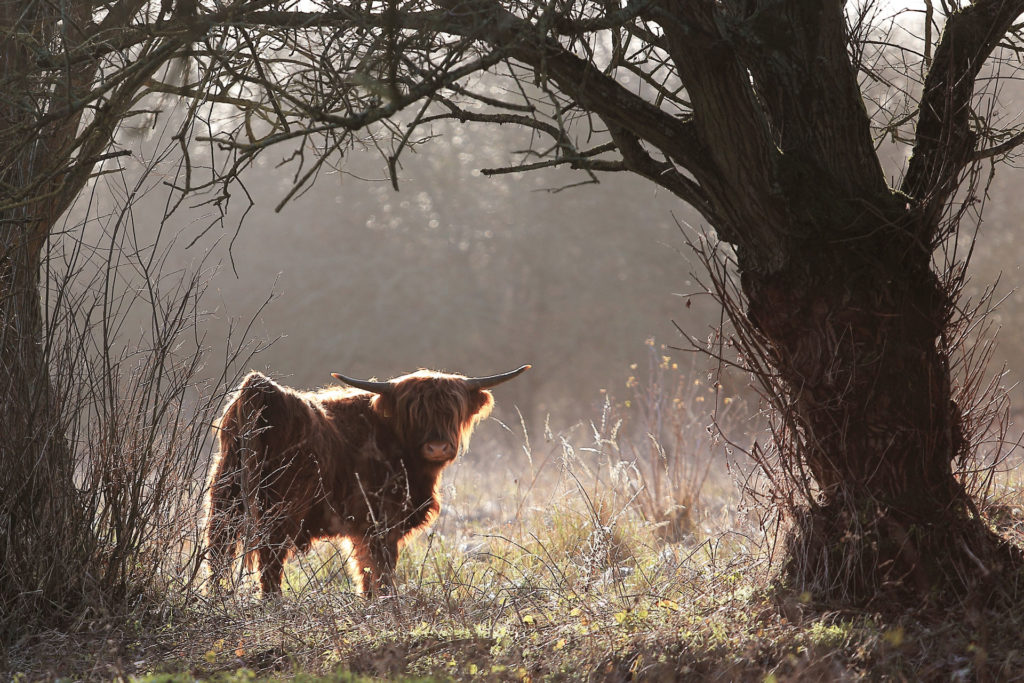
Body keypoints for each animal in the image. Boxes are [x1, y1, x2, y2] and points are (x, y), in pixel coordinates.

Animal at [204, 366, 532, 593]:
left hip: (224, 501)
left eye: (452, 410)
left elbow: (364, 571)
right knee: (269, 562)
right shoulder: (381, 523)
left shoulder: (361, 530)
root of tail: (260, 389)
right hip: (278, 511)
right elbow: (381, 571)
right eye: (414, 412)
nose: (437, 447)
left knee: (218, 555)